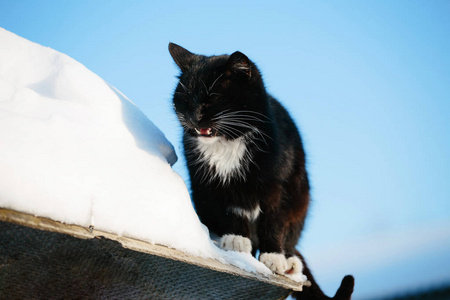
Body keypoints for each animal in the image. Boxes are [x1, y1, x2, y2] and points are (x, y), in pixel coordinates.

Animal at [167, 42, 354, 300]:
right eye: (184, 100)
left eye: (212, 98)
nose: (194, 118)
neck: (228, 142)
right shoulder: (214, 185)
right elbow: (231, 209)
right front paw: (236, 240)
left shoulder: (279, 184)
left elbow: (275, 216)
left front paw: (273, 256)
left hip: (301, 196)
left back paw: (290, 261)